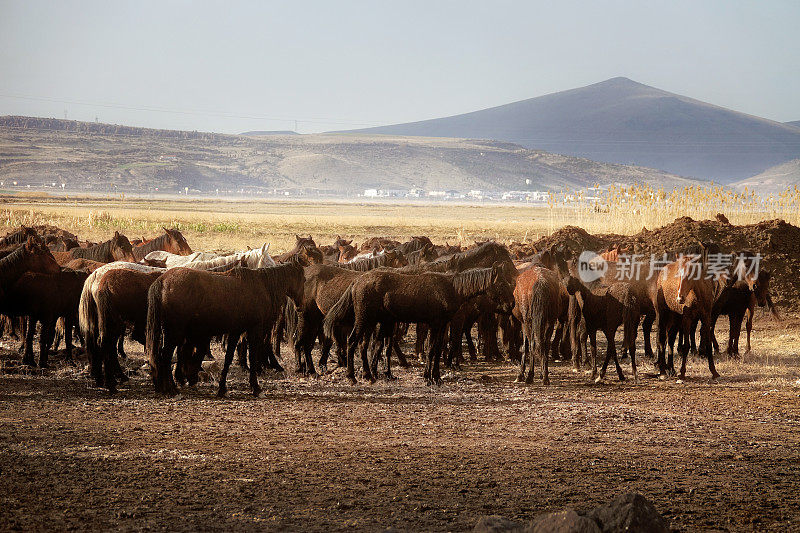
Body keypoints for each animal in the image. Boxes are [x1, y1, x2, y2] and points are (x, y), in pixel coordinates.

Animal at [145, 258, 308, 394]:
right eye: (305, 279)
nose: (301, 305)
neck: (261, 286)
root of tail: (162, 281)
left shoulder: (236, 331)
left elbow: (228, 358)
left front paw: (222, 388)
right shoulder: (254, 330)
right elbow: (252, 357)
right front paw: (255, 387)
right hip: (174, 334)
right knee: (165, 357)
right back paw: (170, 388)